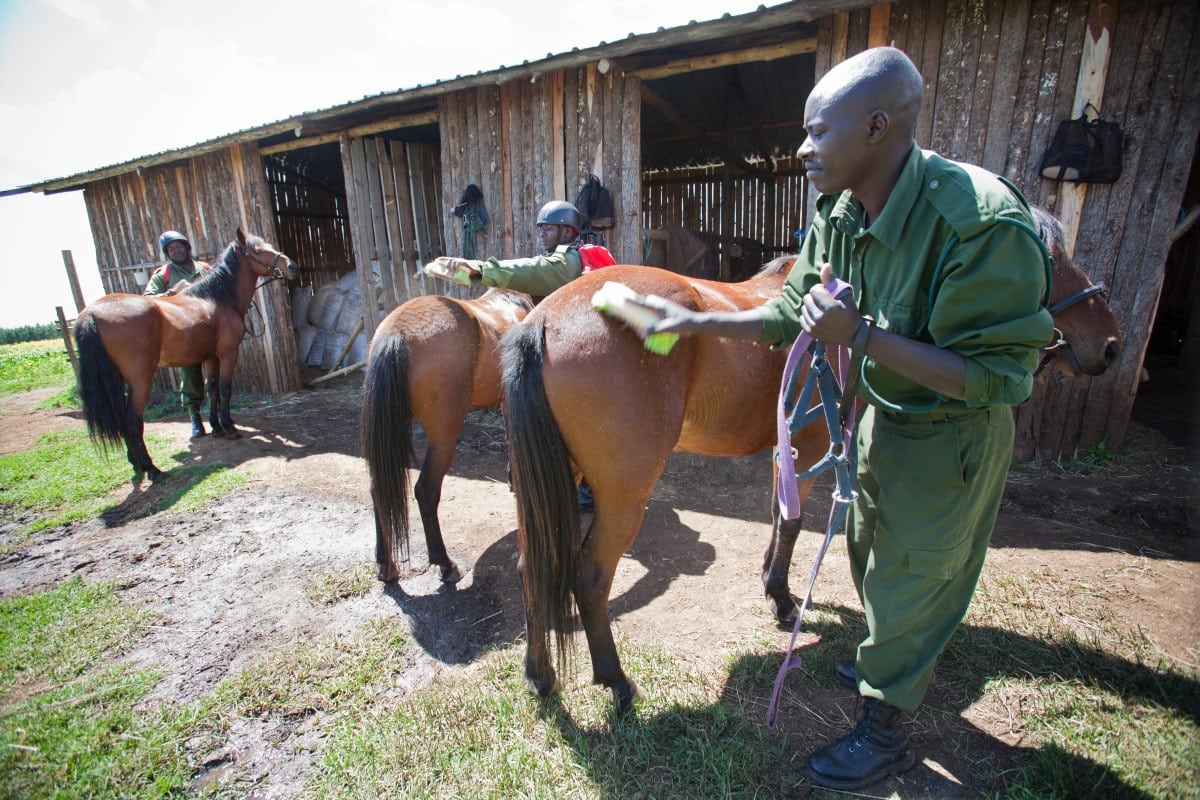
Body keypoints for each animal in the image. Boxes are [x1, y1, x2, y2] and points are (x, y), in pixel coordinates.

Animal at [75, 229, 299, 483]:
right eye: (258, 251)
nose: (291, 266)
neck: (218, 299)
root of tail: (91, 313)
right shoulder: (228, 354)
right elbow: (225, 389)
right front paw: (230, 428)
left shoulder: (210, 357)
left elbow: (212, 390)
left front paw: (217, 427)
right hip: (140, 380)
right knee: (133, 421)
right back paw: (152, 469)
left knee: (123, 419)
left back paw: (136, 465)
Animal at [360, 287, 534, 584]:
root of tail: (395, 334)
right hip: (443, 438)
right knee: (426, 490)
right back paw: (444, 563)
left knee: (378, 490)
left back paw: (386, 565)